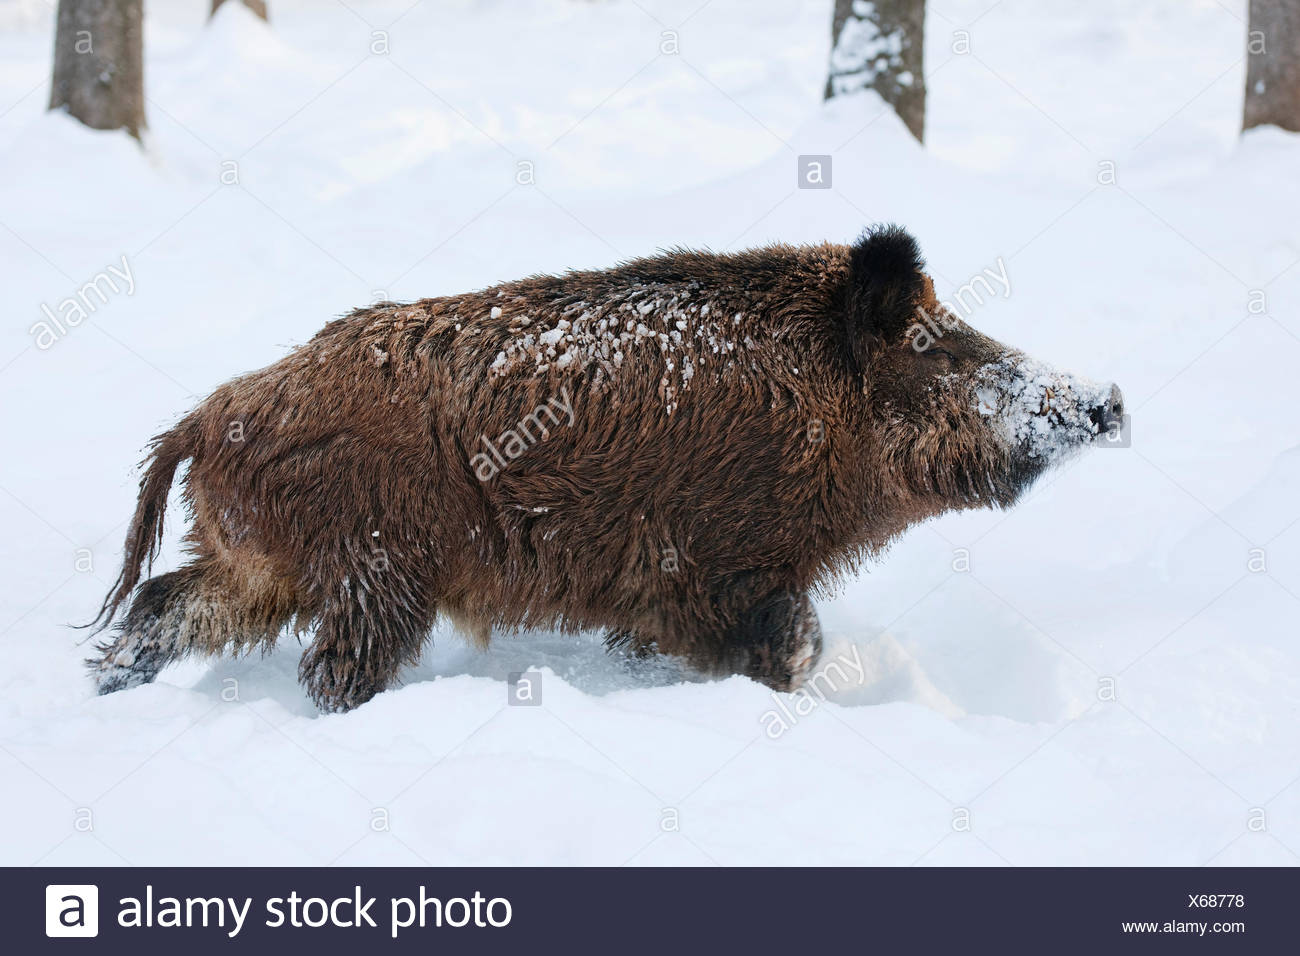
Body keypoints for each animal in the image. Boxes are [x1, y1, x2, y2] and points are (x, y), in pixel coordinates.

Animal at [88, 226, 1123, 712]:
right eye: (936, 349)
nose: (1110, 400)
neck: (818, 409)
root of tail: (209, 414)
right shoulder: (714, 566)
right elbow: (792, 643)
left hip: (262, 565)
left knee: (166, 606)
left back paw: (104, 687)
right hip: (373, 568)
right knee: (328, 669)